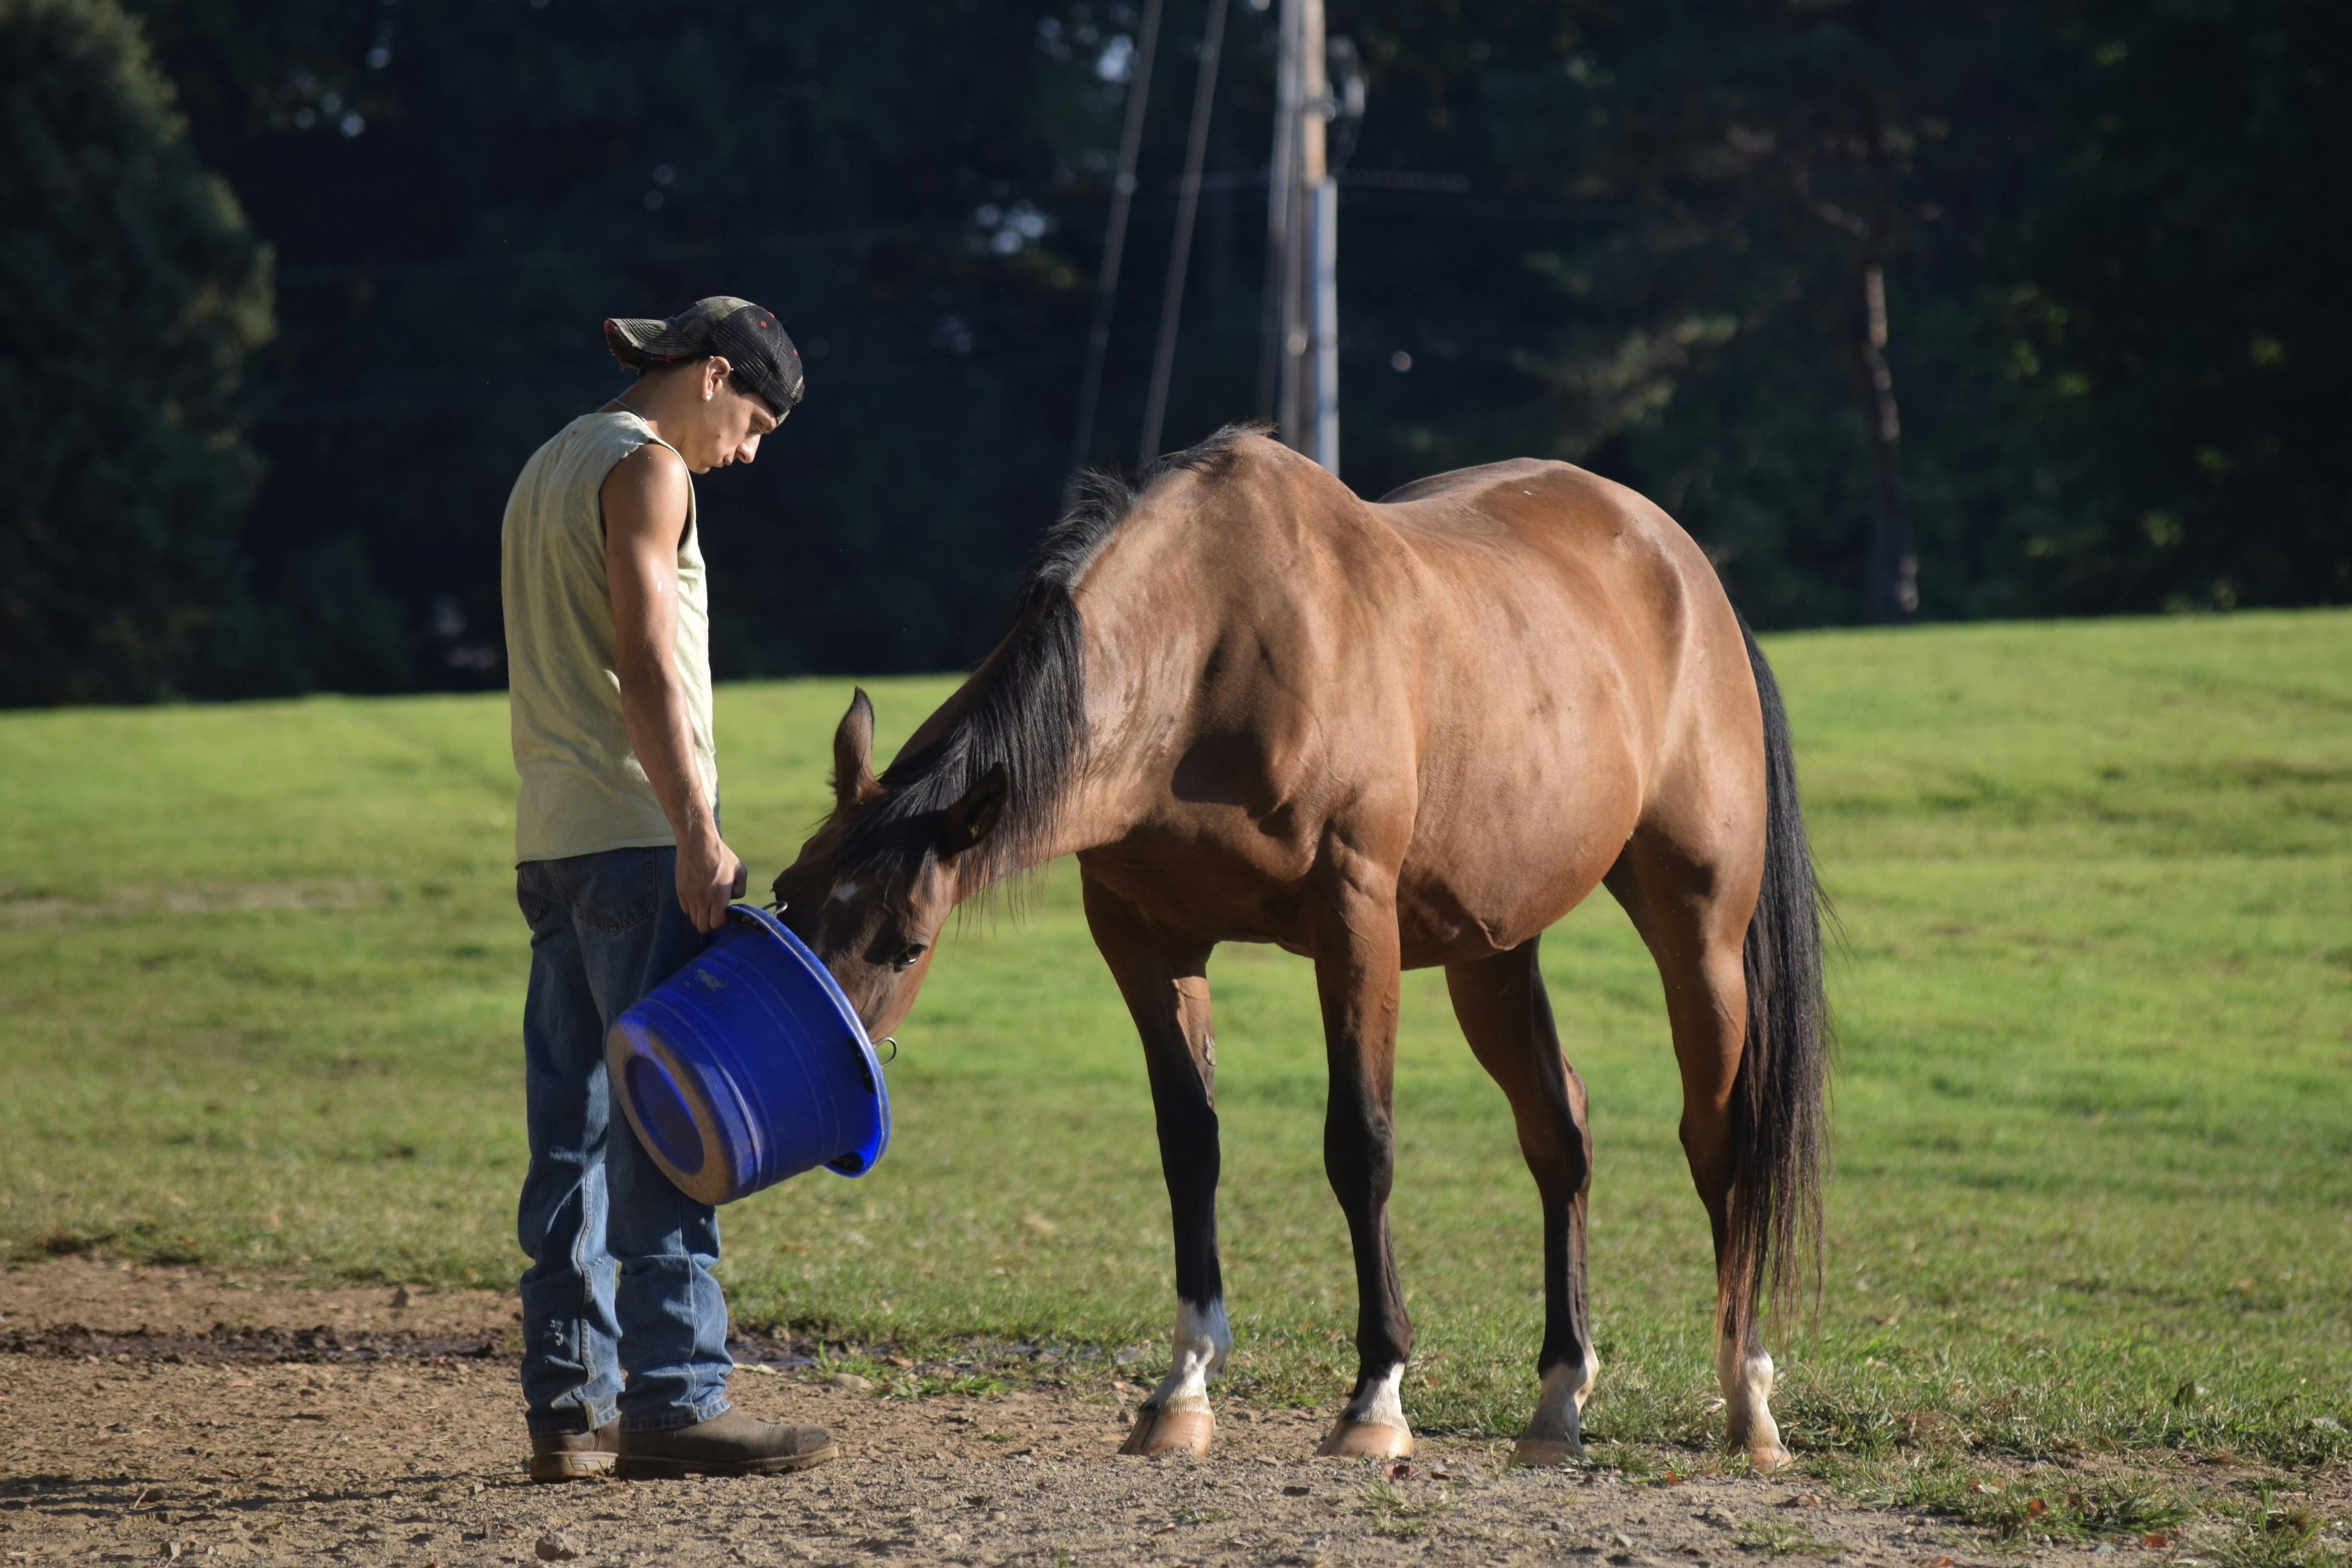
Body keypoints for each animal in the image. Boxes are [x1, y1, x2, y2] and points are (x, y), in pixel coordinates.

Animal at [776, 421, 1834, 1476]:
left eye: (907, 944)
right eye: (788, 899)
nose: (824, 1064)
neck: (1214, 643)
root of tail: (1685, 570)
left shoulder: (1353, 917)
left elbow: (1358, 1145)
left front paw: (1376, 1397)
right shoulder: (1143, 937)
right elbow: (1189, 1144)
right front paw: (1183, 1389)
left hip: (1699, 935)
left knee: (1716, 1142)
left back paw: (1748, 1399)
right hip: (1491, 952)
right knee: (1558, 1135)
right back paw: (1557, 1397)